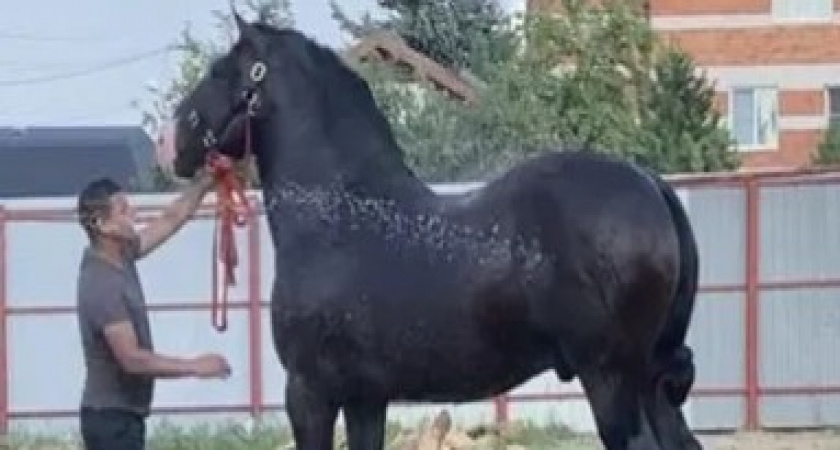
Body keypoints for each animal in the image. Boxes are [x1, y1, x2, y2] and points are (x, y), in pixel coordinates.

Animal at [155, 13, 703, 450]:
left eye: (221, 72)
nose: (169, 142)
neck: (337, 218)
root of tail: (651, 185)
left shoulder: (309, 391)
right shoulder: (365, 398)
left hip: (610, 379)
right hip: (650, 383)